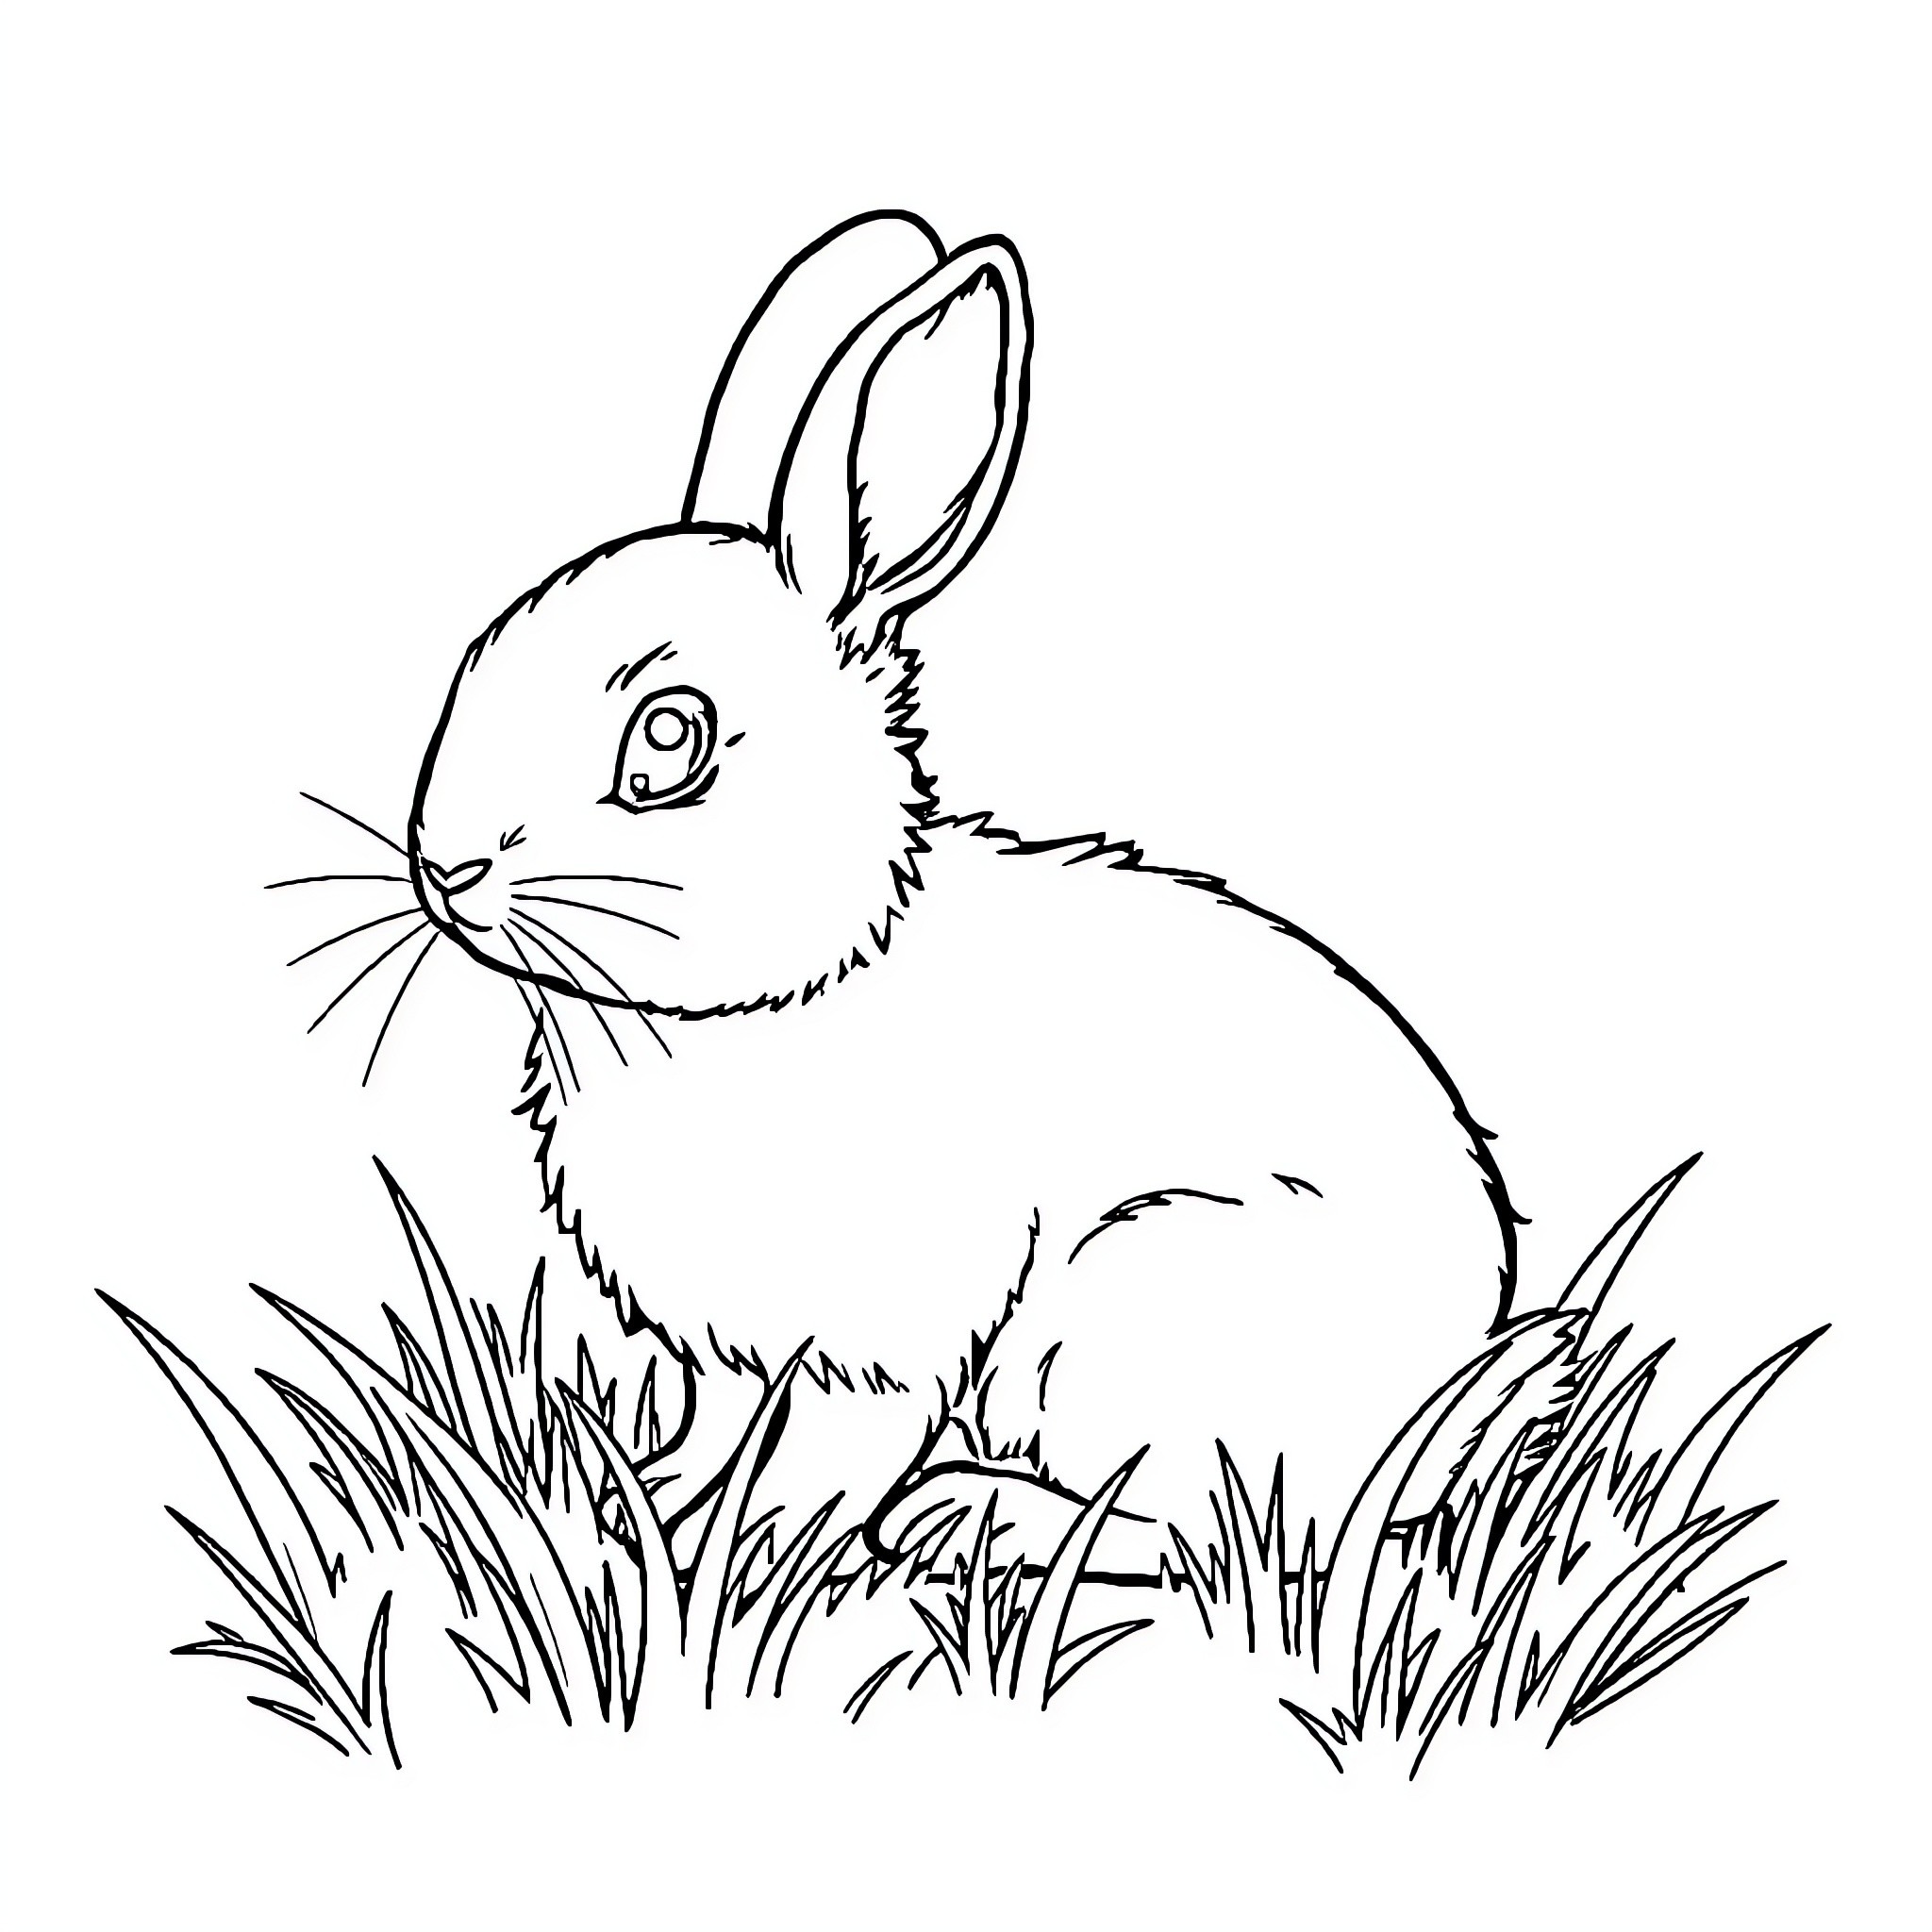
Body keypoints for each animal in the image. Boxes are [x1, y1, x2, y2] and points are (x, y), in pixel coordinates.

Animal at [403, 210, 1520, 1564]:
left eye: (668, 739)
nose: (443, 867)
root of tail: (1425, 1433)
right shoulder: (730, 1355)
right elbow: (712, 1432)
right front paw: (640, 1507)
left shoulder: (883, 1343)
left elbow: (819, 1466)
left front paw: (759, 1551)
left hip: (1131, 1313)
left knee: (1210, 1529)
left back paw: (973, 1521)